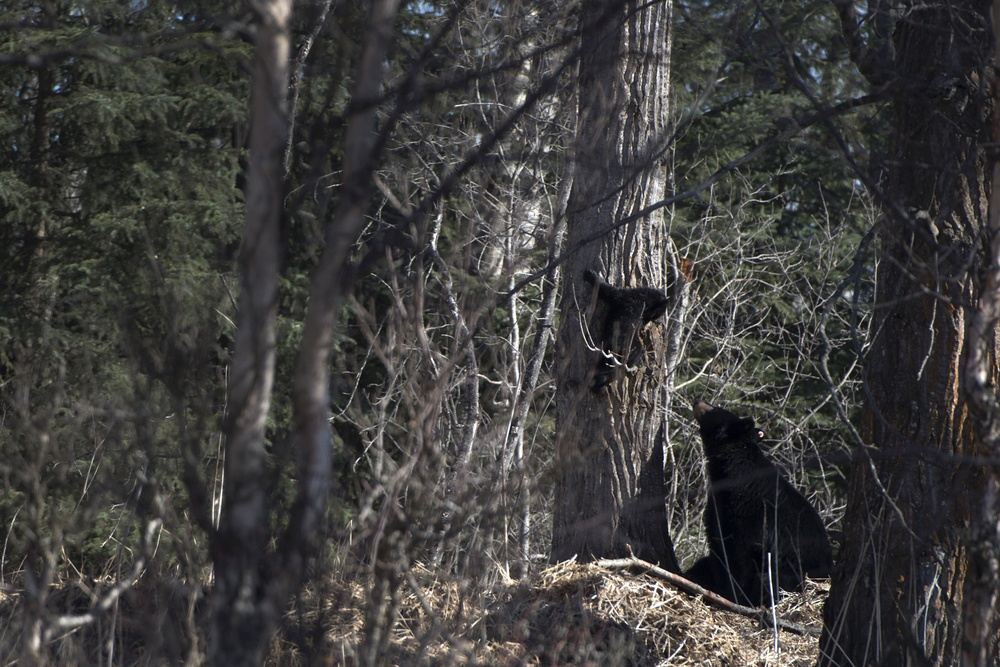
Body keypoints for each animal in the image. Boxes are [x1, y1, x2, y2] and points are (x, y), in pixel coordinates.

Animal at [684, 399, 833, 606]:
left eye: (714, 409)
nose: (698, 401)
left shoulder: (749, 513)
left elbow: (738, 554)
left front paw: (730, 593)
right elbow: (716, 545)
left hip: (789, 574)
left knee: (766, 580)